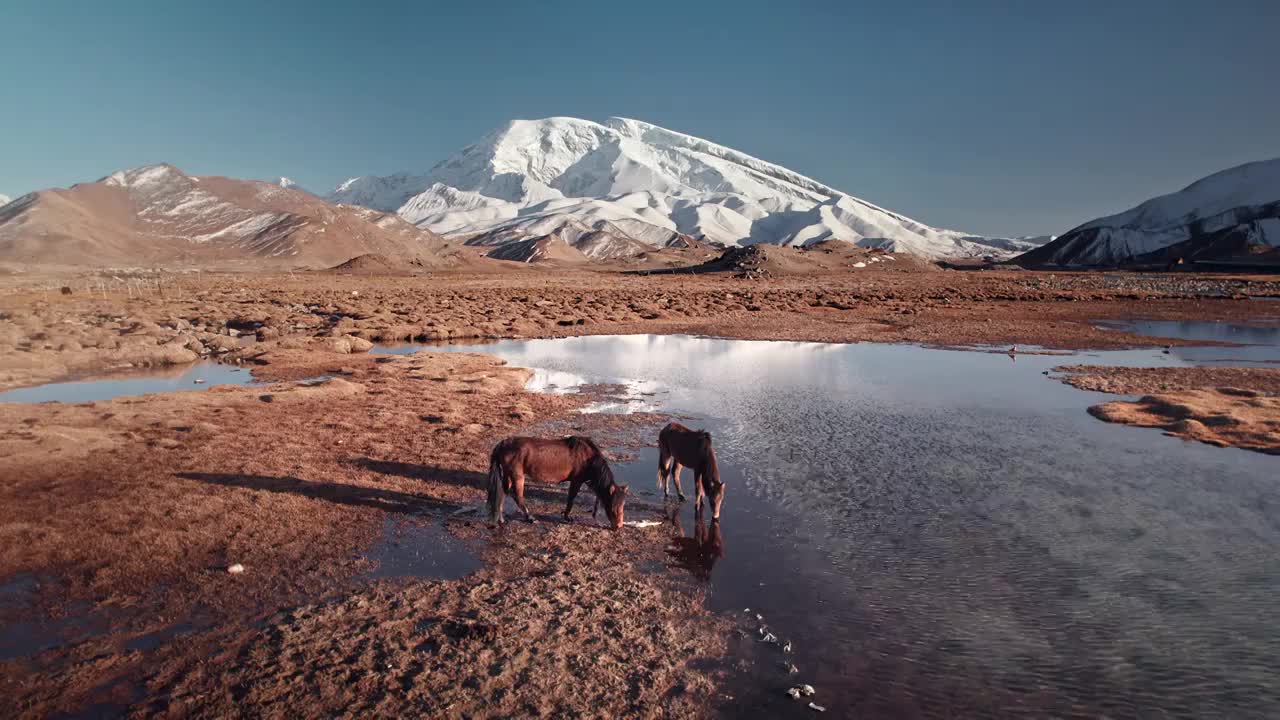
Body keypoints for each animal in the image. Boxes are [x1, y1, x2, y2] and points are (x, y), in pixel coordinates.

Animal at [486, 430, 627, 527]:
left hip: (508, 475)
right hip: (518, 476)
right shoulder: (576, 481)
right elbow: (571, 499)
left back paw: (501, 518)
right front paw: (567, 517)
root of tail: (503, 444)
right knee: (518, 497)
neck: (589, 458)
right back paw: (530, 517)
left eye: (622, 505)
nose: (619, 526)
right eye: (613, 507)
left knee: (503, 493)